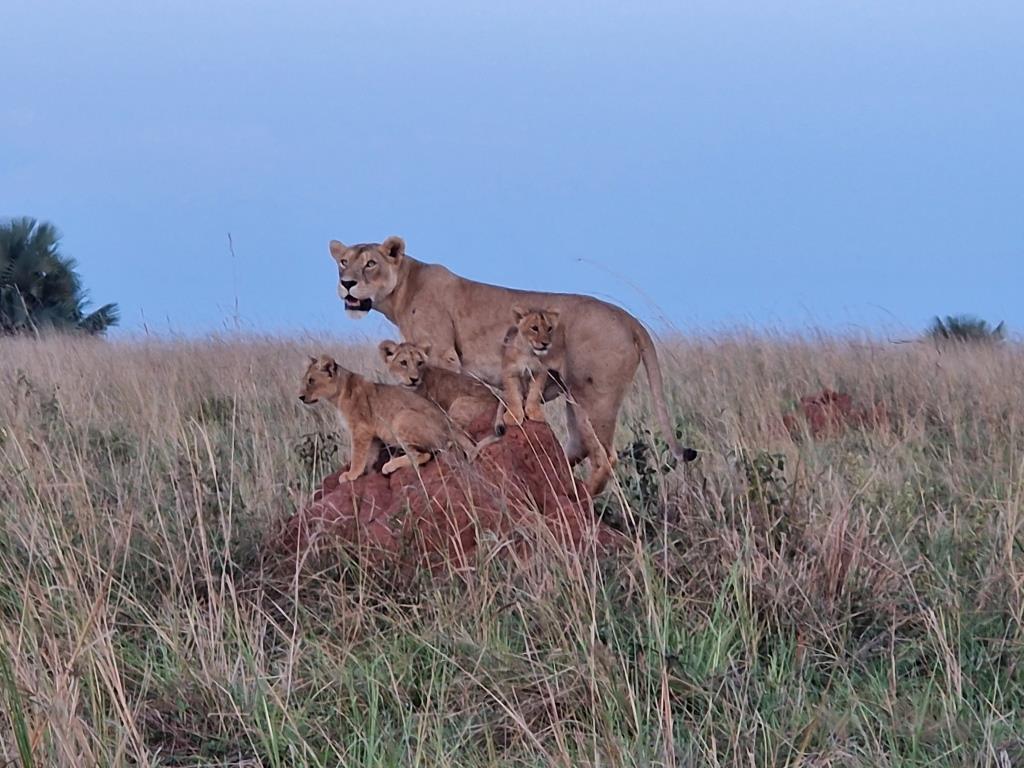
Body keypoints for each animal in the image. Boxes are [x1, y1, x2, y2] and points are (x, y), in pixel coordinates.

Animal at [298, 354, 476, 482]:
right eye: (305, 380)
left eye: (311, 381)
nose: (300, 397)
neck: (338, 395)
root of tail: (450, 425)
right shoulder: (370, 433)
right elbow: (369, 454)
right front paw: (366, 472)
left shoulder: (361, 429)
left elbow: (357, 455)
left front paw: (351, 474)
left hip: (401, 417)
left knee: (423, 455)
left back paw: (389, 466)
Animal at [329, 236, 698, 494]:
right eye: (343, 262)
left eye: (370, 263)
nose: (346, 283)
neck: (404, 287)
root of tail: (628, 318)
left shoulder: (442, 354)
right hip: (576, 403)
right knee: (579, 448)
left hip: (595, 400)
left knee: (606, 458)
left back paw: (583, 496)